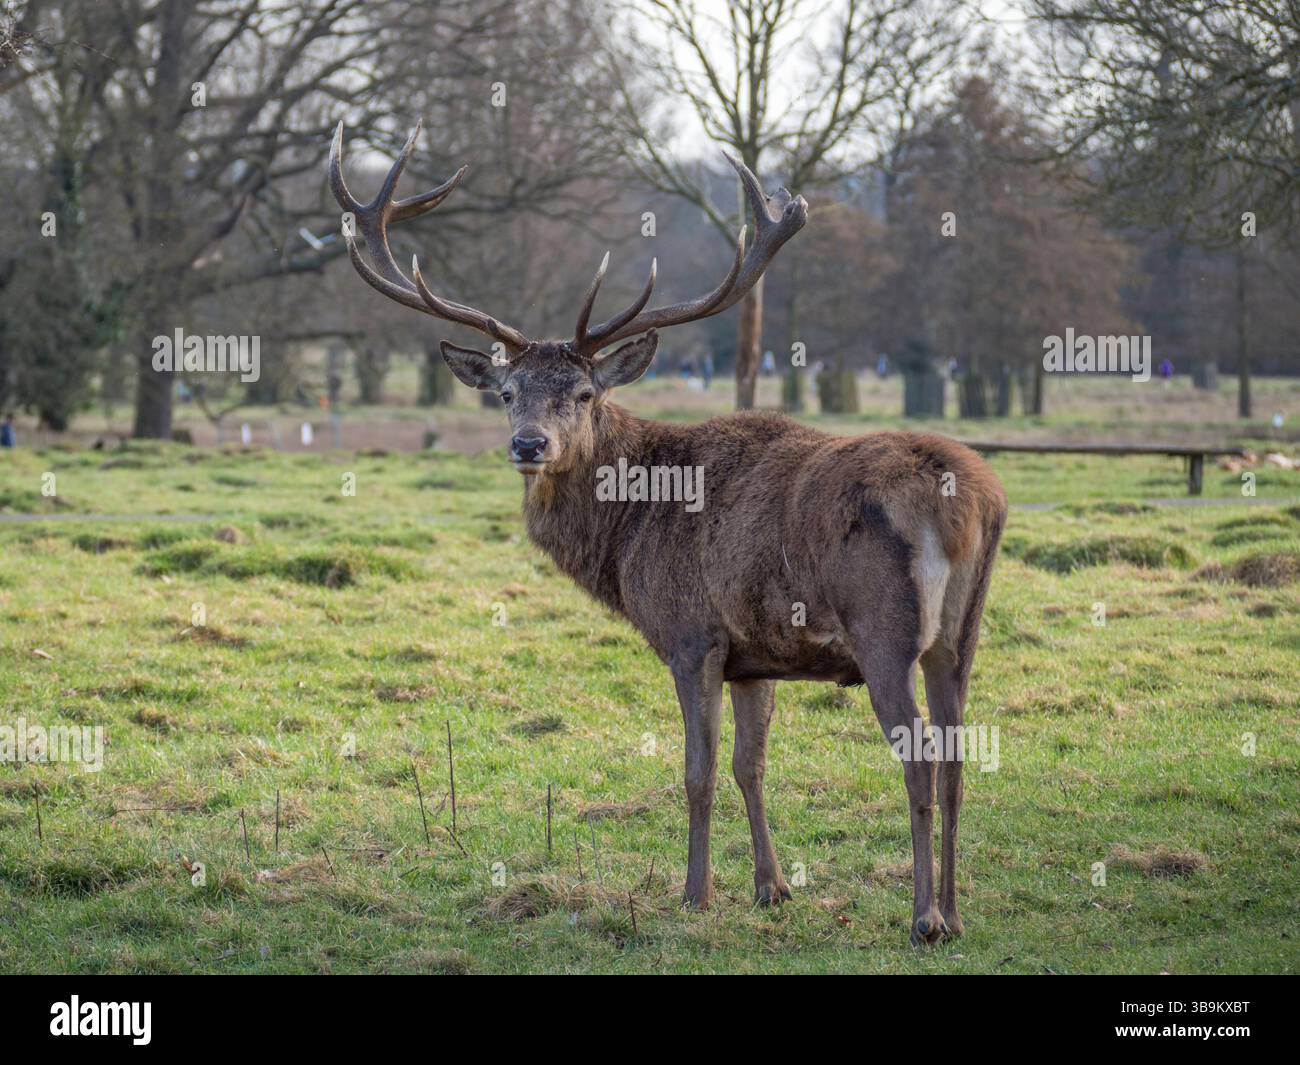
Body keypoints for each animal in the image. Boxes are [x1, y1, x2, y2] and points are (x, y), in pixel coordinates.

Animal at [328, 121, 1007, 946]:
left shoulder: (692, 634)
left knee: (919, 756)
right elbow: (752, 764)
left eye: (583, 392)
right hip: (961, 634)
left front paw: (695, 893)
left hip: (885, 630)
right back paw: (958, 911)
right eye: (508, 391)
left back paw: (924, 917)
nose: (529, 444)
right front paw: (772, 886)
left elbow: (698, 770)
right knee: (960, 754)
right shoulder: (755, 655)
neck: (629, 534)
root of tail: (972, 501)